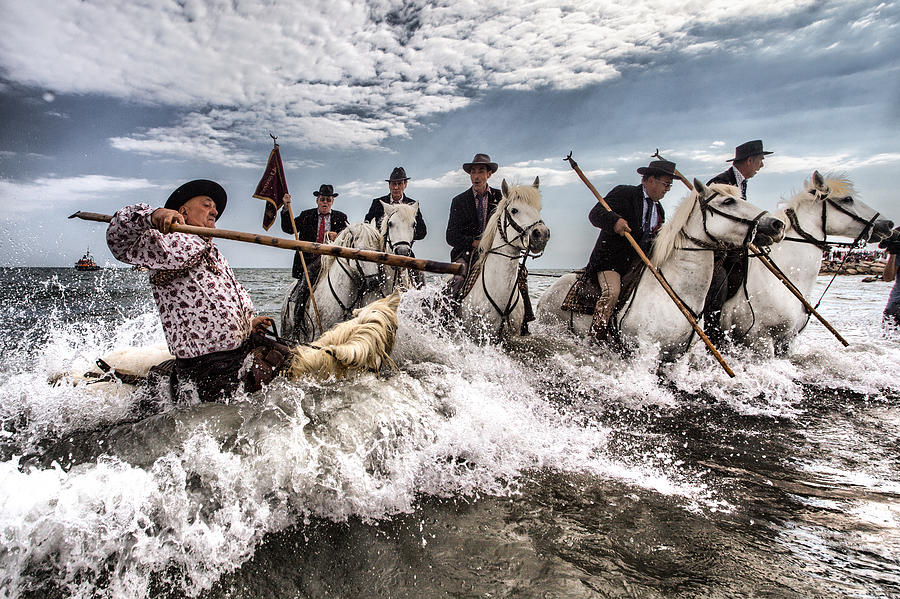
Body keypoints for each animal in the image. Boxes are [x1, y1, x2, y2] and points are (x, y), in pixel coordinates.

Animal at [536, 176, 784, 358]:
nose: (776, 224)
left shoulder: (679, 356)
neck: (674, 290)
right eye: (728, 202)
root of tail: (549, 291)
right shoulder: (646, 350)